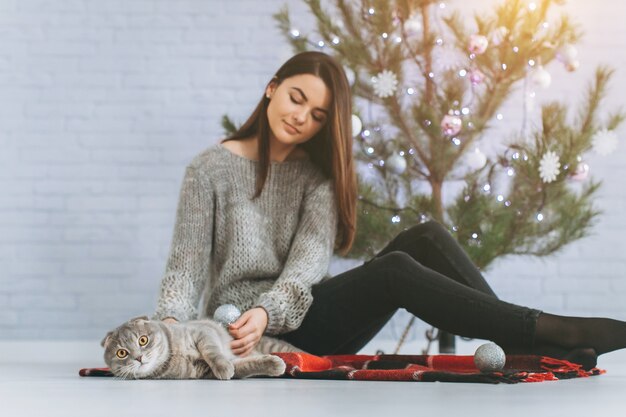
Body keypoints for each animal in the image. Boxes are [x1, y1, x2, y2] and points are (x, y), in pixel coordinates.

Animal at [100, 316, 302, 380]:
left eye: (143, 340)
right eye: (121, 353)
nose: (139, 358)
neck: (175, 355)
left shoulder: (201, 333)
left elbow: (213, 352)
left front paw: (223, 366)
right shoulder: (202, 371)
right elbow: (245, 366)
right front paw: (274, 364)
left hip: (275, 344)